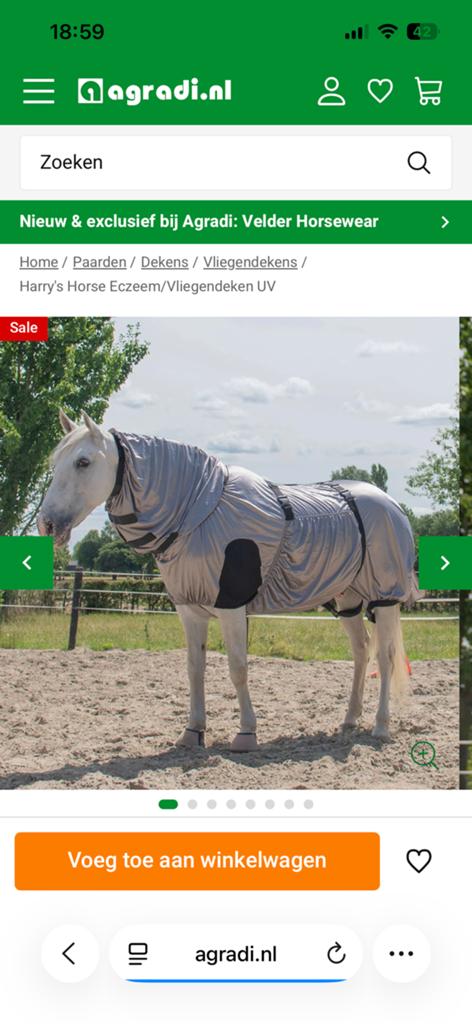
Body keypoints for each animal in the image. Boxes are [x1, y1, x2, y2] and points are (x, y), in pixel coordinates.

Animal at [38, 410, 417, 751]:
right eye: (55, 462)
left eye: (83, 462)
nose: (47, 524)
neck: (198, 512)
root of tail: (389, 504)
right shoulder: (189, 608)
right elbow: (195, 668)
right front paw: (192, 732)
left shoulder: (231, 606)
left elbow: (238, 668)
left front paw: (246, 734)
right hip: (347, 599)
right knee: (362, 651)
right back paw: (349, 720)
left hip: (385, 597)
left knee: (385, 657)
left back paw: (380, 727)